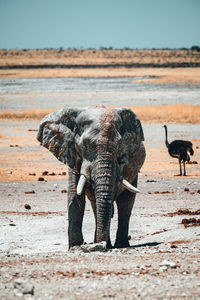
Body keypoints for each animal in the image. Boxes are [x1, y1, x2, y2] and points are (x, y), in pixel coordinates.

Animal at [36, 105, 145, 248]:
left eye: (119, 146)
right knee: (96, 204)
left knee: (125, 204)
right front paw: (75, 247)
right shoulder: (72, 155)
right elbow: (75, 195)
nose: (102, 244)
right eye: (85, 145)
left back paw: (120, 245)